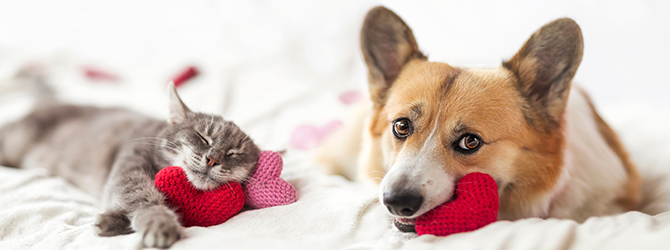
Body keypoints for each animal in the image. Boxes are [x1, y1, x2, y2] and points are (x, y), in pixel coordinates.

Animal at [0, 81, 262, 247]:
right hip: (15, 139)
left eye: (234, 153)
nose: (213, 158)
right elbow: (141, 197)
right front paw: (159, 222)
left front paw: (110, 221)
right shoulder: (130, 166)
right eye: (202, 137)